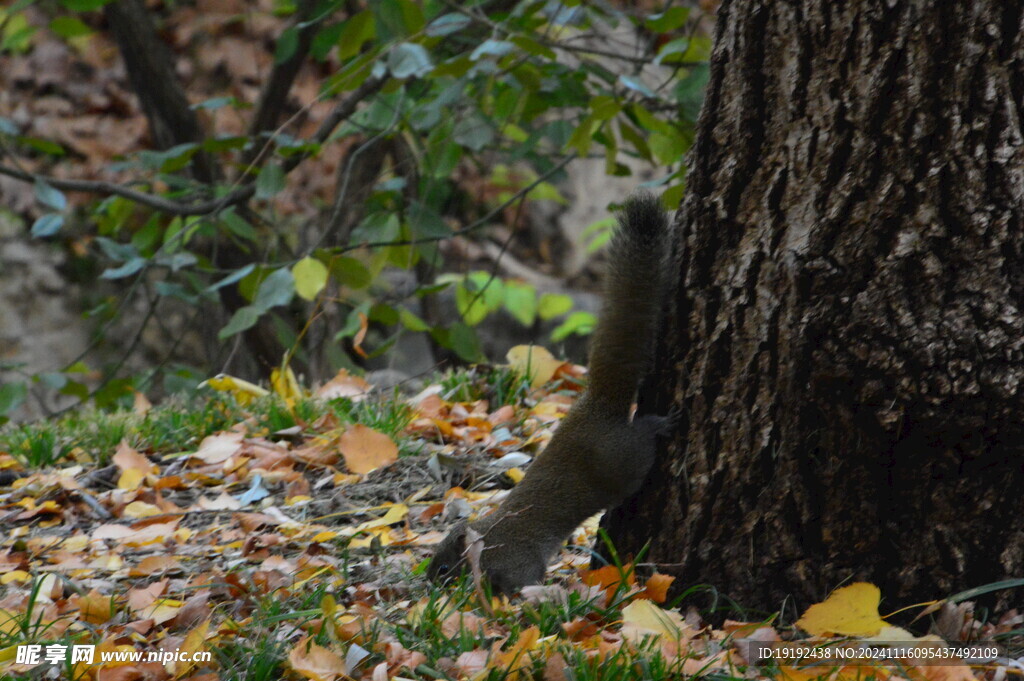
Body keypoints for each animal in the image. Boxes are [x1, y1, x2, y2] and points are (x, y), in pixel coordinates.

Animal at [425, 192, 671, 593]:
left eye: (445, 568)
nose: (429, 585)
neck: (486, 541)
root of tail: (598, 405)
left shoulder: (514, 560)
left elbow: (524, 580)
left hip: (624, 459)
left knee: (641, 442)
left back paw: (658, 425)